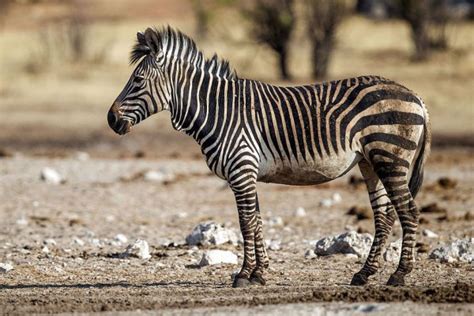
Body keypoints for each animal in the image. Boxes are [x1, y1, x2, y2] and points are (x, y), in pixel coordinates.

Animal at [107, 27, 430, 288]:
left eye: (137, 80)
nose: (111, 120)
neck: (219, 111)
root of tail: (415, 96)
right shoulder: (246, 174)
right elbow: (257, 221)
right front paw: (259, 274)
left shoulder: (241, 170)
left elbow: (246, 222)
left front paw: (243, 275)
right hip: (370, 162)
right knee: (384, 217)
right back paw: (364, 274)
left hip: (390, 158)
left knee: (409, 212)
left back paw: (399, 275)